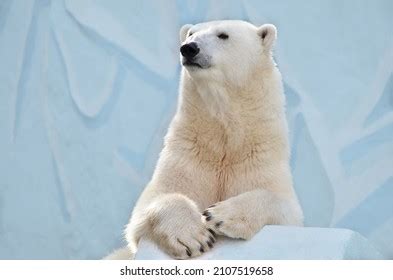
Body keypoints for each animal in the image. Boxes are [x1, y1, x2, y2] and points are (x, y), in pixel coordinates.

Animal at [111, 20, 304, 260]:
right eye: (191, 34)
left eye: (223, 35)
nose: (189, 48)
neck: (225, 138)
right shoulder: (188, 153)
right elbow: (155, 198)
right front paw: (193, 237)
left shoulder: (260, 156)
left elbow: (283, 206)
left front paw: (220, 215)